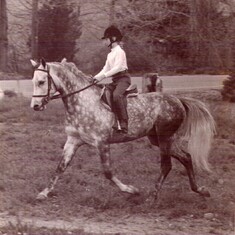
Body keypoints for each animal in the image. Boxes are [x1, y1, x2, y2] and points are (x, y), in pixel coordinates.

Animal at [30, 58, 216, 202]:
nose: (35, 106)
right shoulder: (73, 141)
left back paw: (153, 196)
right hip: (158, 139)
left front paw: (131, 190)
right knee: (186, 157)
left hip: (164, 139)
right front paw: (44, 193)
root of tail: (178, 100)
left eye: (41, 81)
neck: (82, 101)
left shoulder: (102, 143)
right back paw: (201, 190)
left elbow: (108, 172)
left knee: (167, 165)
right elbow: (60, 167)